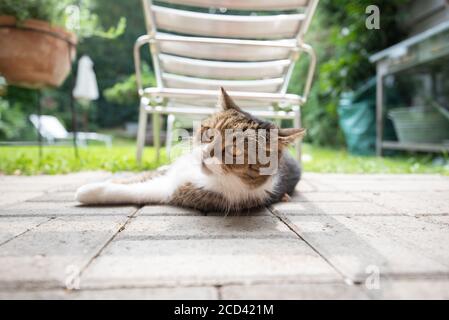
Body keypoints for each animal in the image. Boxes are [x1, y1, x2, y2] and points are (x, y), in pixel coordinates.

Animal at [75, 87, 304, 214]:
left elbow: (135, 190)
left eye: (236, 151)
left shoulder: (178, 191)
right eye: (209, 133)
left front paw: (89, 191)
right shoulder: (173, 170)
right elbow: (139, 176)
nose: (206, 153)